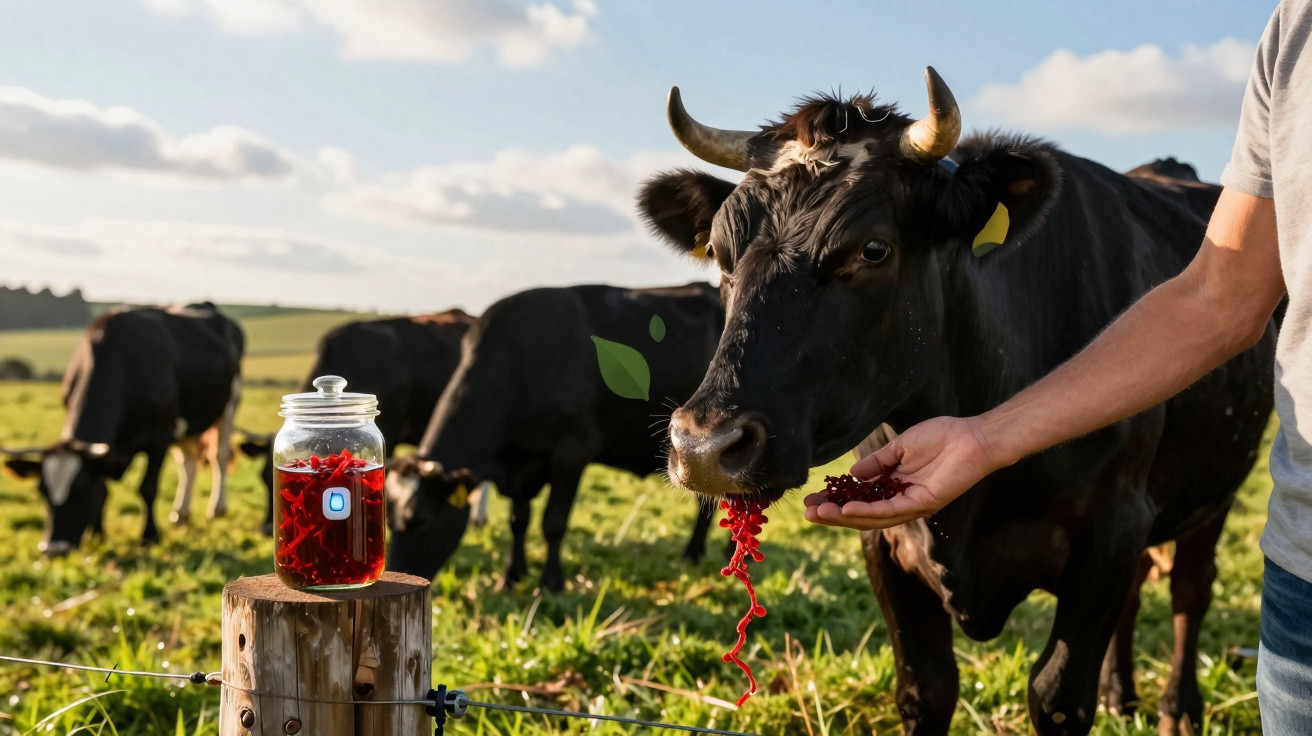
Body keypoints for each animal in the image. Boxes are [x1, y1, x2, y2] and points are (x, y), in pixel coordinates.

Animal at [2, 303, 244, 554]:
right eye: (42, 491)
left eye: (81, 491)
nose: (52, 549)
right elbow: (104, 489)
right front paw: (97, 536)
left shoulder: (160, 436)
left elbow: (148, 488)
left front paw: (149, 536)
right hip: (190, 423)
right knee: (189, 462)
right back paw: (181, 513)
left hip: (228, 407)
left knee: (219, 456)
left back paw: (217, 508)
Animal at [386, 283, 725, 592]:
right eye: (388, 521)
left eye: (421, 520)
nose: (398, 574)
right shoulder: (520, 461)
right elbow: (518, 520)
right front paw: (512, 575)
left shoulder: (573, 451)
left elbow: (553, 522)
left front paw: (550, 583)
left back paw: (695, 554)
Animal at [641, 68, 1275, 736]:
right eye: (719, 253)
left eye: (873, 250)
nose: (704, 446)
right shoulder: (887, 544)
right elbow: (928, 688)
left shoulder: (1111, 526)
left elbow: (1057, 695)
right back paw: (1118, 693)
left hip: (1216, 489)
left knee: (1189, 590)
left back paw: (1178, 708)